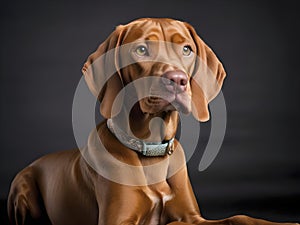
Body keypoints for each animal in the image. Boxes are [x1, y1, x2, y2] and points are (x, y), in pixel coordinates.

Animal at [7, 18, 298, 225]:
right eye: (141, 49)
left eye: (186, 49)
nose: (178, 80)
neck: (151, 151)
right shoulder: (118, 221)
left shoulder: (191, 216)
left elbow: (238, 217)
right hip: (21, 189)